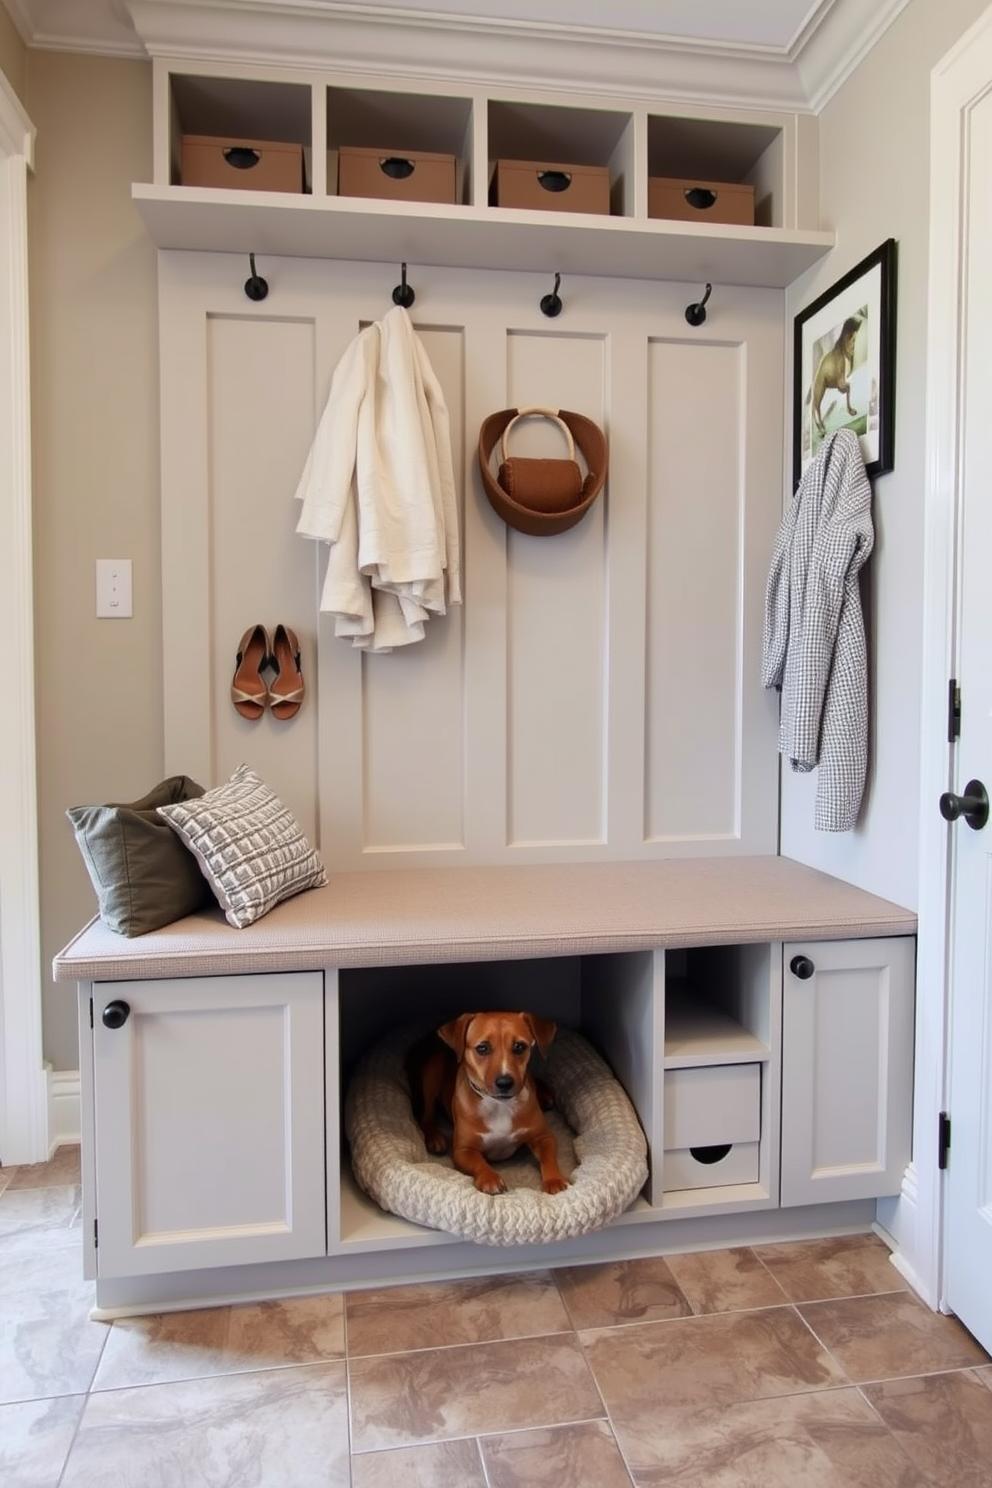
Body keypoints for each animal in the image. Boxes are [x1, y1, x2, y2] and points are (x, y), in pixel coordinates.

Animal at [410, 1011, 565, 1196]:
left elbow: (549, 1158)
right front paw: (490, 1178)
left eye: (519, 1046)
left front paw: (554, 1179)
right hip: (432, 1073)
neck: (499, 1106)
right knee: (426, 1116)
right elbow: (478, 1162)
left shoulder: (543, 1137)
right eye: (482, 1048)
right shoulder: (463, 1150)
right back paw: (434, 1137)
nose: (505, 1082)